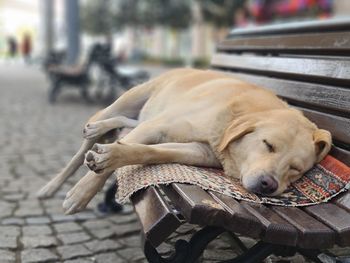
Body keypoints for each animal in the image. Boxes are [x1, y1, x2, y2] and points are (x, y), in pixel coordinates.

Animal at [37, 68, 332, 214]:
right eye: (268, 145)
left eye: (295, 170)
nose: (268, 185)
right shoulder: (159, 126)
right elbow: (103, 168)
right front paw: (82, 193)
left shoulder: (195, 150)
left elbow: (146, 152)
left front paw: (115, 155)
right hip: (131, 99)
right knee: (82, 151)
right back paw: (52, 186)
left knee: (128, 124)